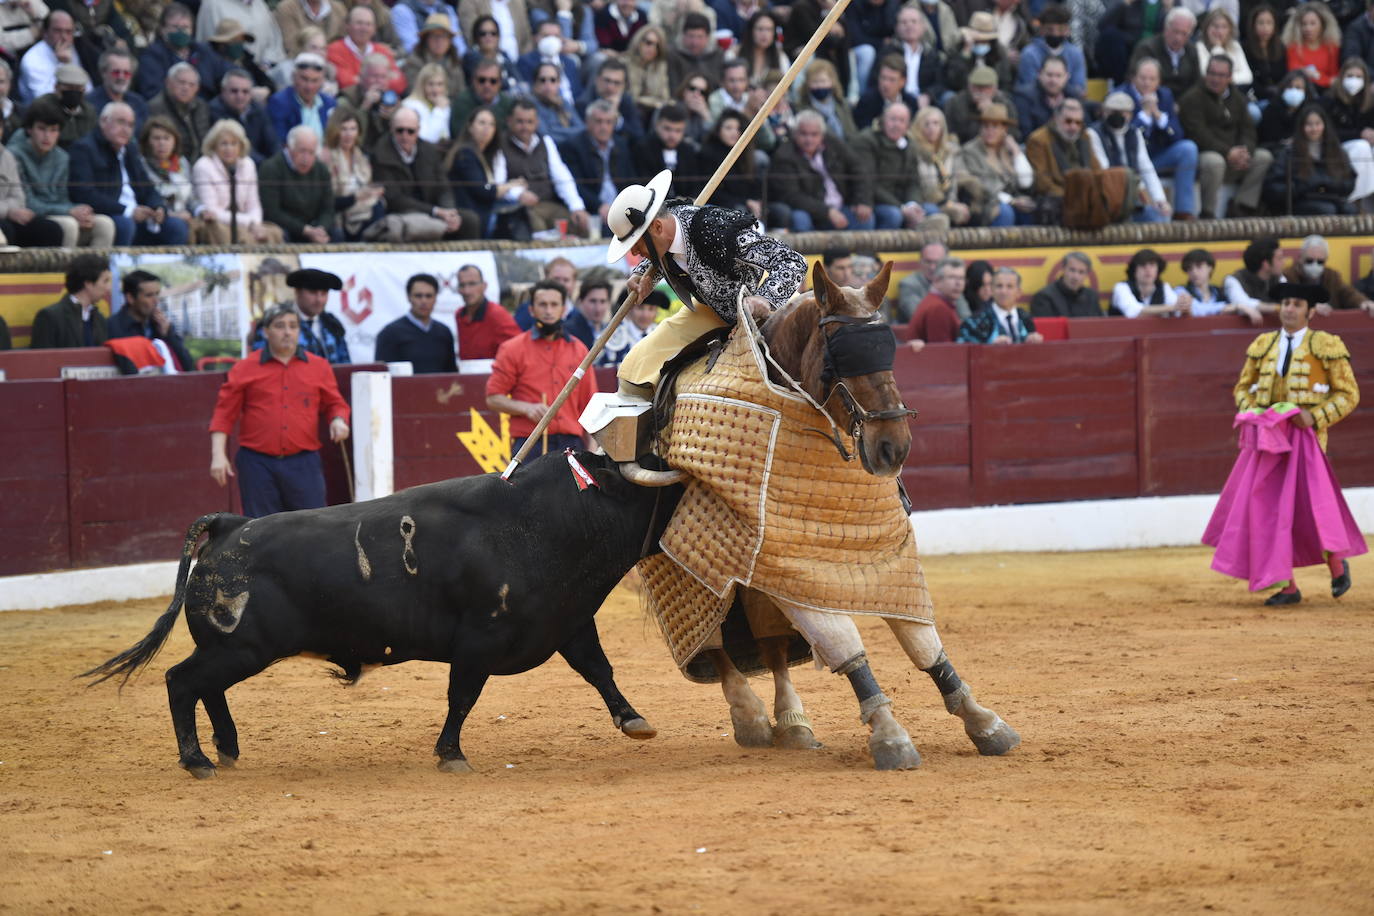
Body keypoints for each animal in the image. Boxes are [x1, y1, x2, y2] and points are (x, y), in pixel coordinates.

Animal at [81, 455, 681, 780]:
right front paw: (451, 755)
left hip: (231, 650)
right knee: (181, 682)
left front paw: (635, 721)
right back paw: (199, 760)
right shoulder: (480, 641)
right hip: (240, 649)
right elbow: (462, 697)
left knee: (206, 687)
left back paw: (226, 749)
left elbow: (599, 671)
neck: (547, 521)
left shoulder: (568, 623)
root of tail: (229, 525)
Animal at [637, 258, 1016, 769]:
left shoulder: (884, 561)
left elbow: (923, 641)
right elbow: (844, 643)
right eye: (838, 357)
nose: (893, 448)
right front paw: (890, 734)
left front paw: (983, 720)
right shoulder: (787, 560)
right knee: (715, 643)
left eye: (889, 354)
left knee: (772, 642)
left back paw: (794, 723)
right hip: (693, 572)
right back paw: (750, 716)